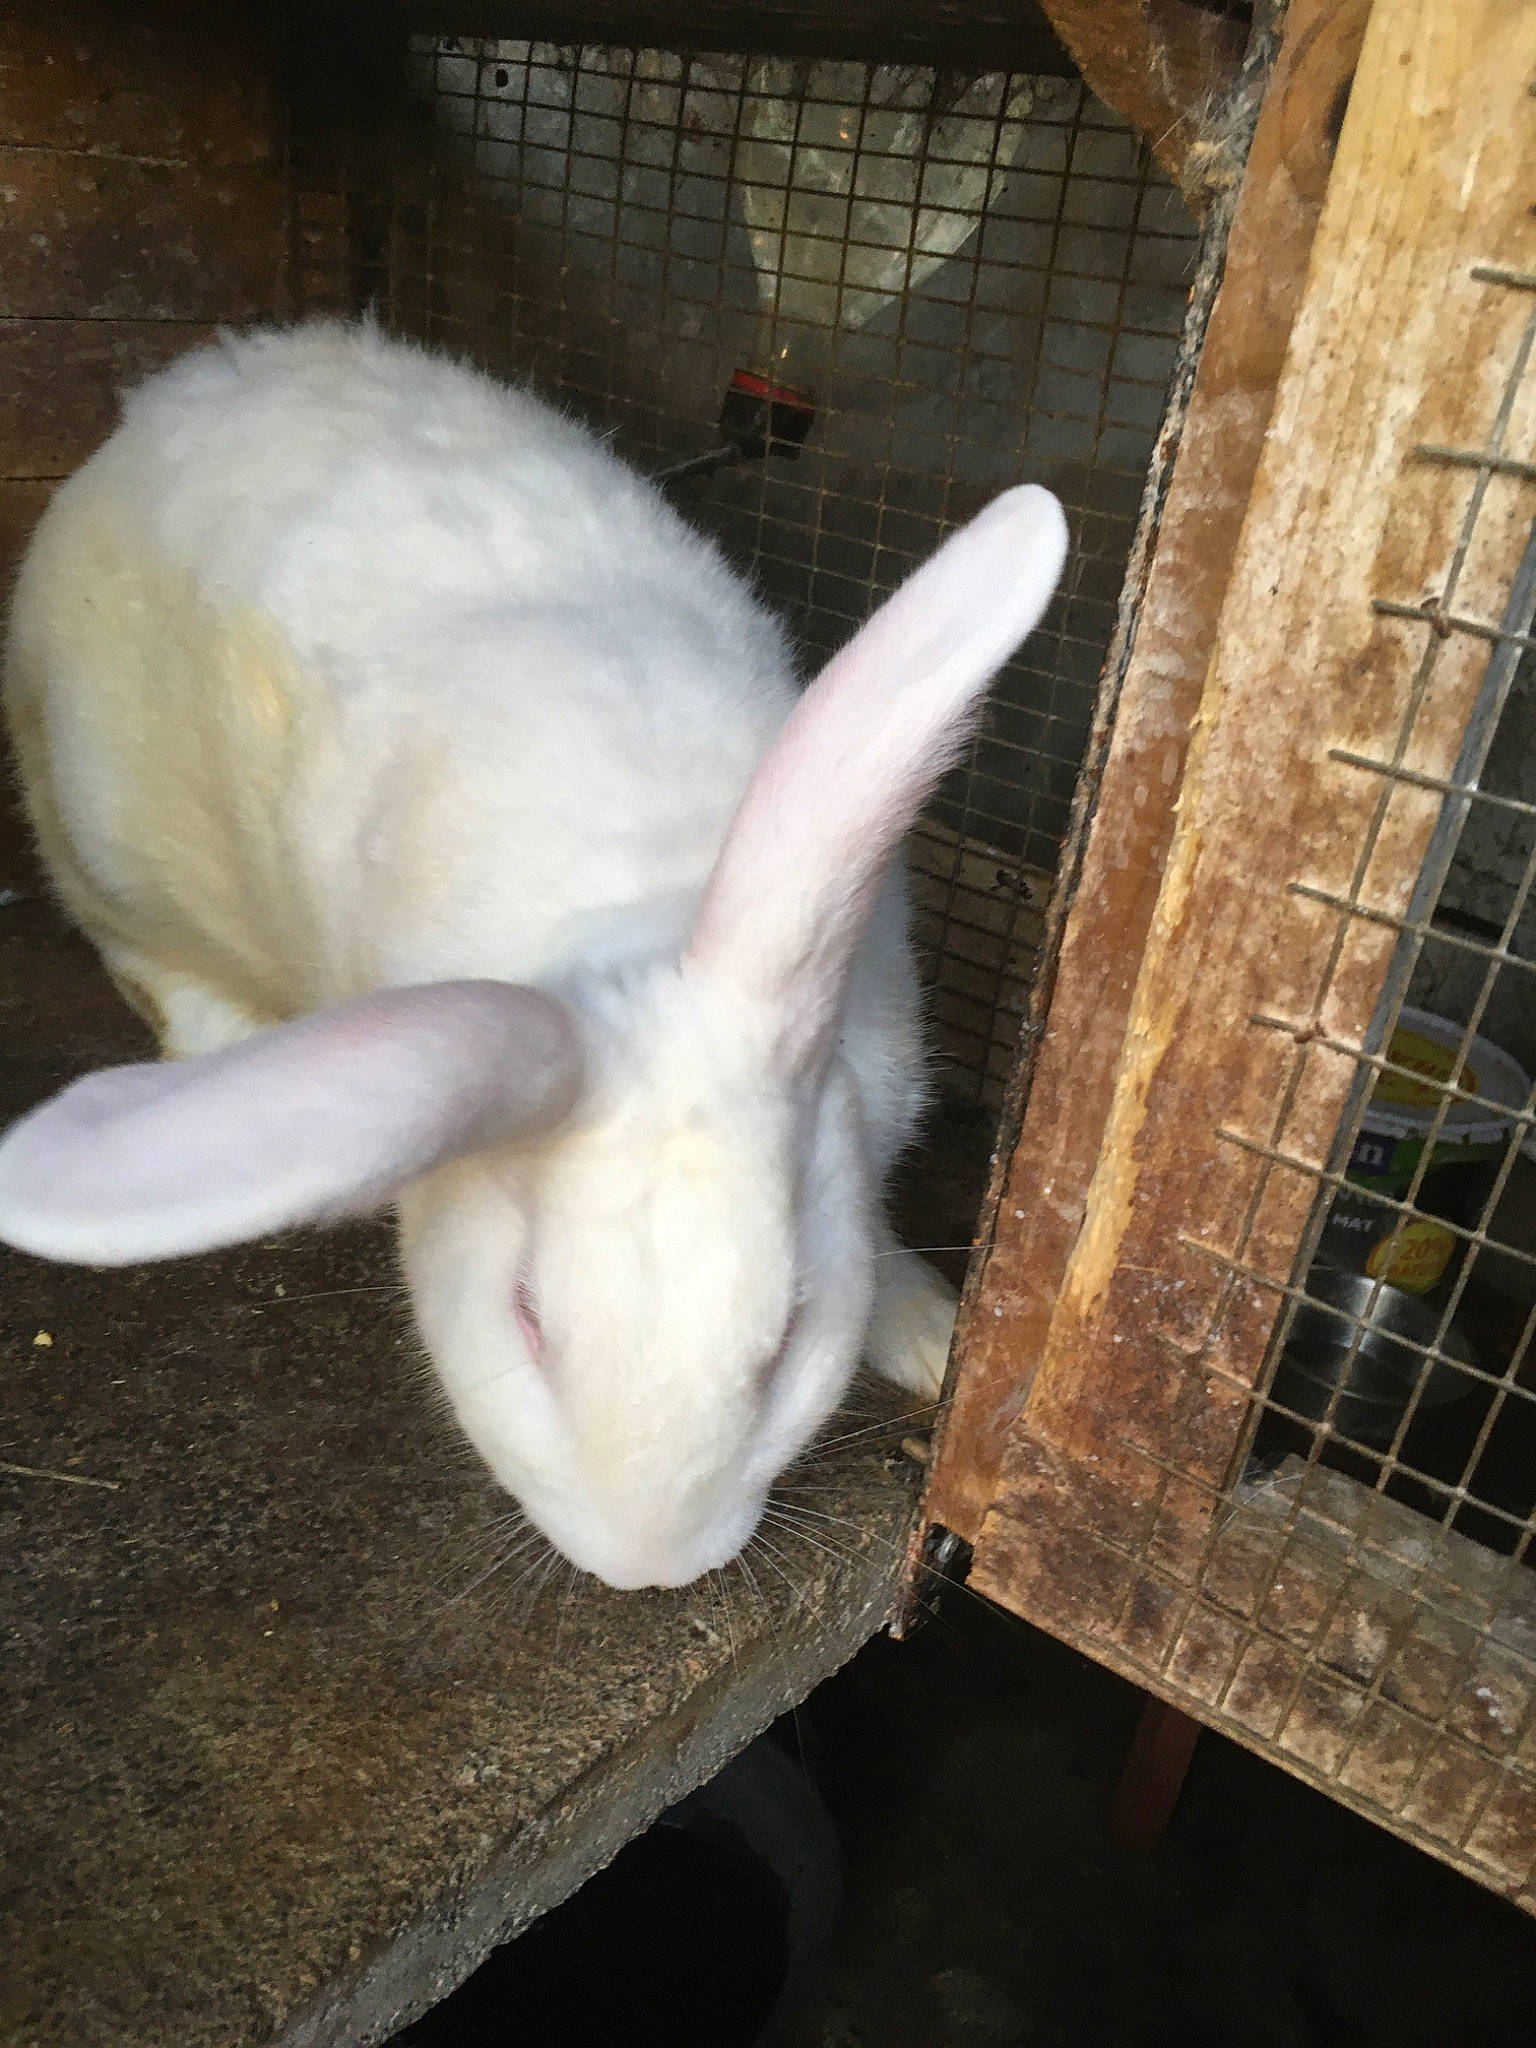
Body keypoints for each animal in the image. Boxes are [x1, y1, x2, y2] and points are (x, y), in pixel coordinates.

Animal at [0, 323, 1067, 1589]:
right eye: (526, 1316)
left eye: (789, 1334)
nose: (649, 1564)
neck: (645, 905)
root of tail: (165, 397)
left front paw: (928, 1332)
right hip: (98, 834)